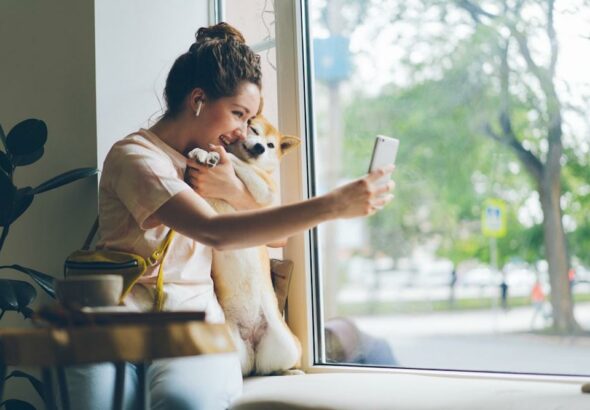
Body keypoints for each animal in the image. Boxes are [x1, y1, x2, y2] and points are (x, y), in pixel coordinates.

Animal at [190, 114, 302, 374]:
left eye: (270, 145)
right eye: (253, 129)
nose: (260, 148)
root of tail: (253, 344)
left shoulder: (266, 191)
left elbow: (240, 163)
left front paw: (216, 153)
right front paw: (202, 152)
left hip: (289, 346)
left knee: (279, 366)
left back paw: (291, 370)